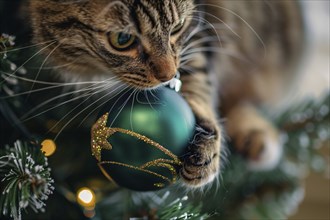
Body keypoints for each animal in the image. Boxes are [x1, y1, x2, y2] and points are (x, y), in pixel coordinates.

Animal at [23, 0, 304, 187]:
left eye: (177, 27)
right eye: (122, 39)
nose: (169, 75)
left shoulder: (201, 27)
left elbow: (199, 74)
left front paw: (205, 148)